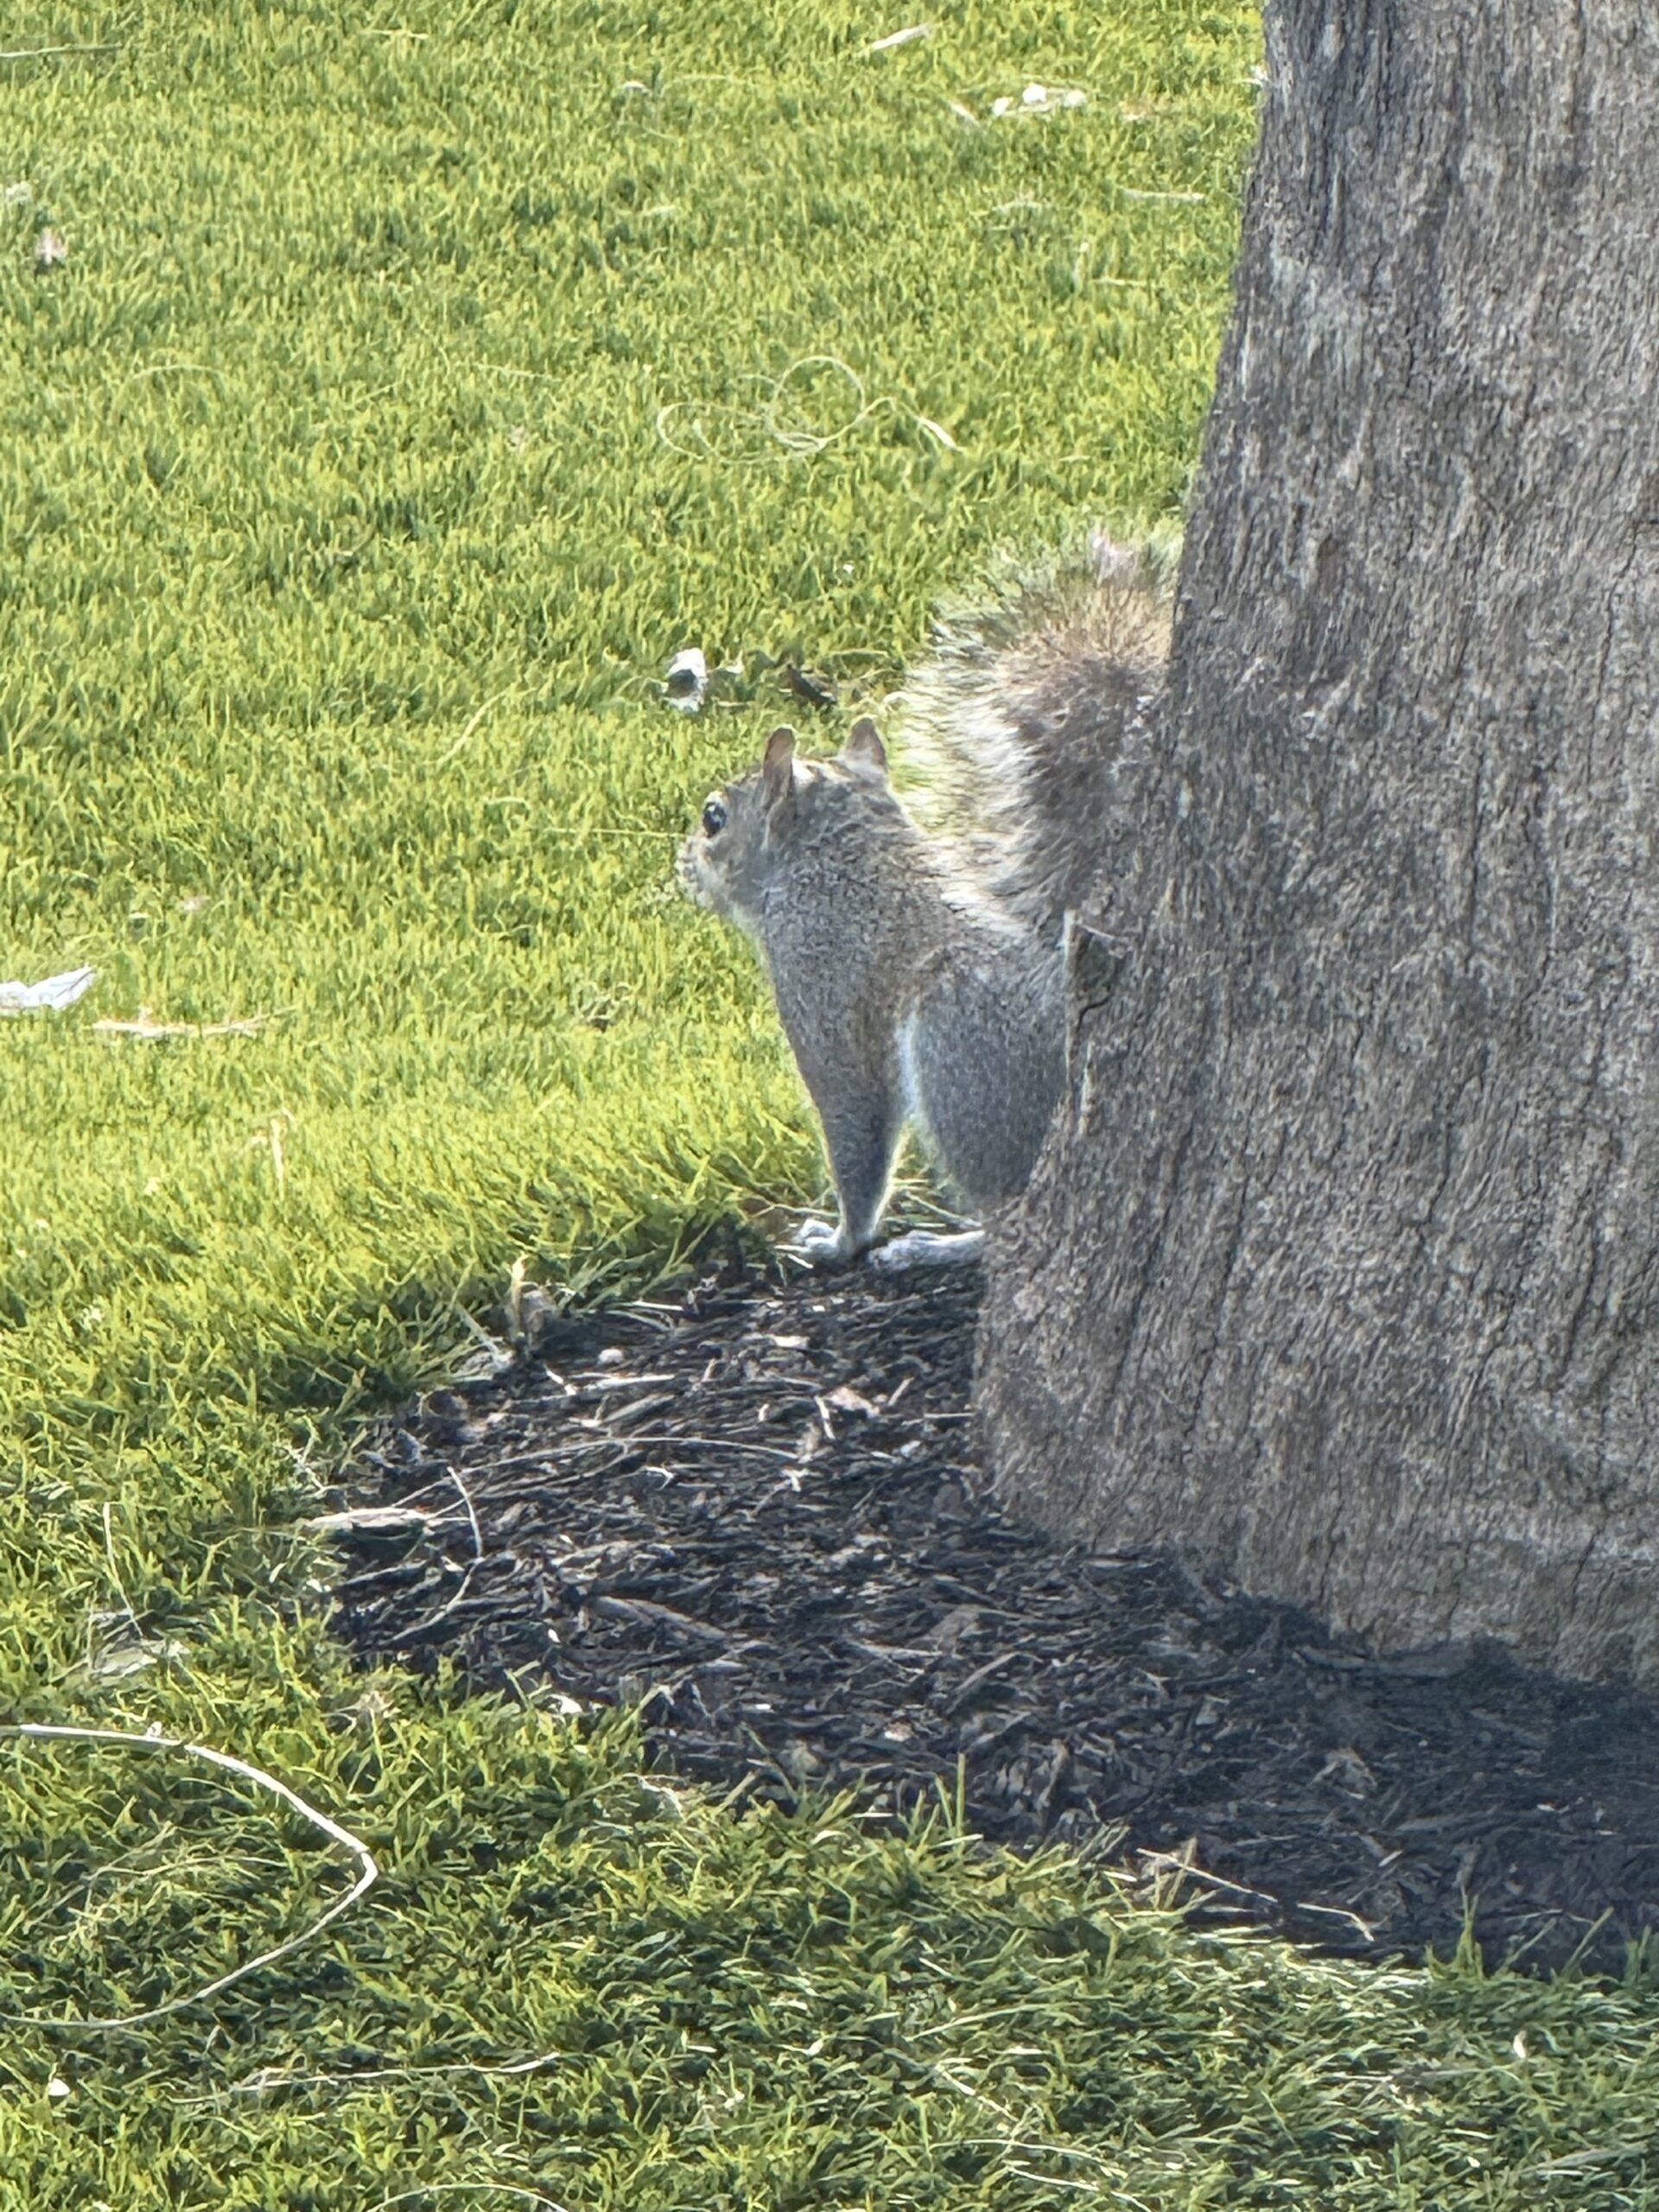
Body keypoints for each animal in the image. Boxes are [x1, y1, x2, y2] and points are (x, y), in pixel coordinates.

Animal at [678, 534, 1173, 1268]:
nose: (683, 864)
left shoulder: (819, 985)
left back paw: (938, 1247)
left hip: (962, 1059)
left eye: (714, 818)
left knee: (1008, 1214)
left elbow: (854, 1119)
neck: (841, 860)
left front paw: (840, 1239)